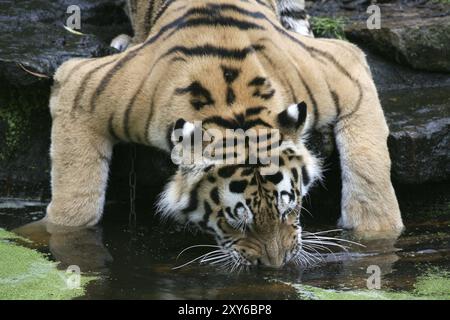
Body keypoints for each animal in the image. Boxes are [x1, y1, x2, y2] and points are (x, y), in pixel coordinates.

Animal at [48, 0, 404, 268]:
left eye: (289, 210)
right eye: (237, 222)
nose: (276, 265)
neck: (234, 107)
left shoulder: (343, 69)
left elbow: (370, 166)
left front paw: (378, 235)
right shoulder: (83, 87)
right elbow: (75, 199)